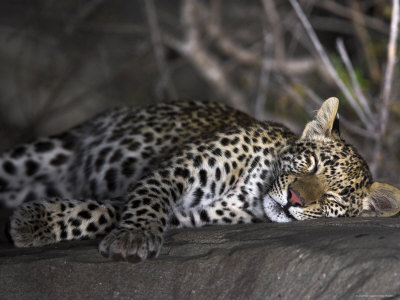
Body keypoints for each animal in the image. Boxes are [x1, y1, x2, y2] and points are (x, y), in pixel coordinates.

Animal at [0, 96, 400, 262]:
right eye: (312, 164)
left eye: (333, 198)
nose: (295, 200)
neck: (251, 190)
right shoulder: (177, 168)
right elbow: (148, 200)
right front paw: (134, 236)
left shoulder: (188, 215)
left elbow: (99, 212)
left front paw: (32, 222)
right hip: (43, 151)